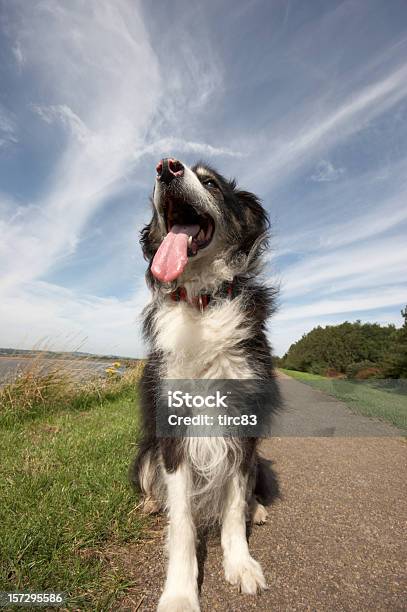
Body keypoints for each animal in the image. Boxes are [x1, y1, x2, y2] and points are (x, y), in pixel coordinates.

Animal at [132, 159, 278, 612]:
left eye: (210, 182)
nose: (166, 167)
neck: (202, 301)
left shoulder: (242, 426)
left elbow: (233, 504)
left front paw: (241, 565)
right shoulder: (174, 431)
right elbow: (181, 520)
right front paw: (180, 594)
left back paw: (257, 510)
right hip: (146, 453)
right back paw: (149, 503)